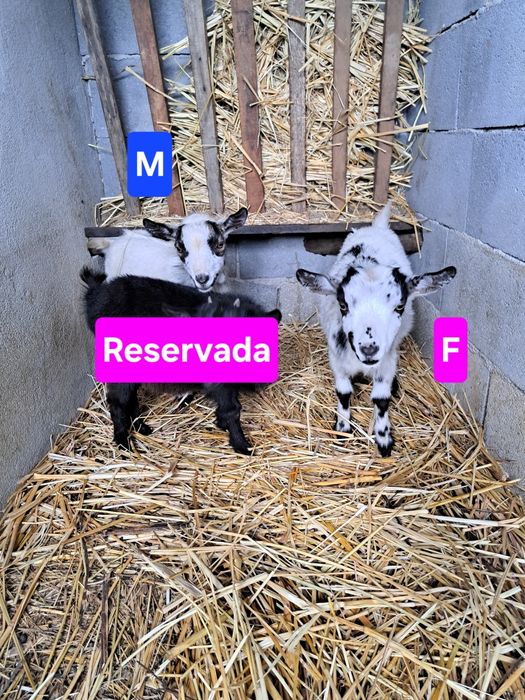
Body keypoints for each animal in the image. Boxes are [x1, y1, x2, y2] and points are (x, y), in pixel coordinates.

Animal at [80, 267, 280, 455]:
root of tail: (96, 296)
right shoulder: (220, 385)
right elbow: (232, 410)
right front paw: (241, 445)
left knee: (131, 398)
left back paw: (141, 427)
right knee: (118, 402)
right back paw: (123, 442)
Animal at [296, 203, 456, 457]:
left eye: (400, 306)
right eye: (343, 304)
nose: (369, 349)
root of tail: (377, 226)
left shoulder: (386, 361)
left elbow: (381, 400)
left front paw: (384, 440)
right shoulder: (337, 359)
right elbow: (343, 393)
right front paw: (343, 427)